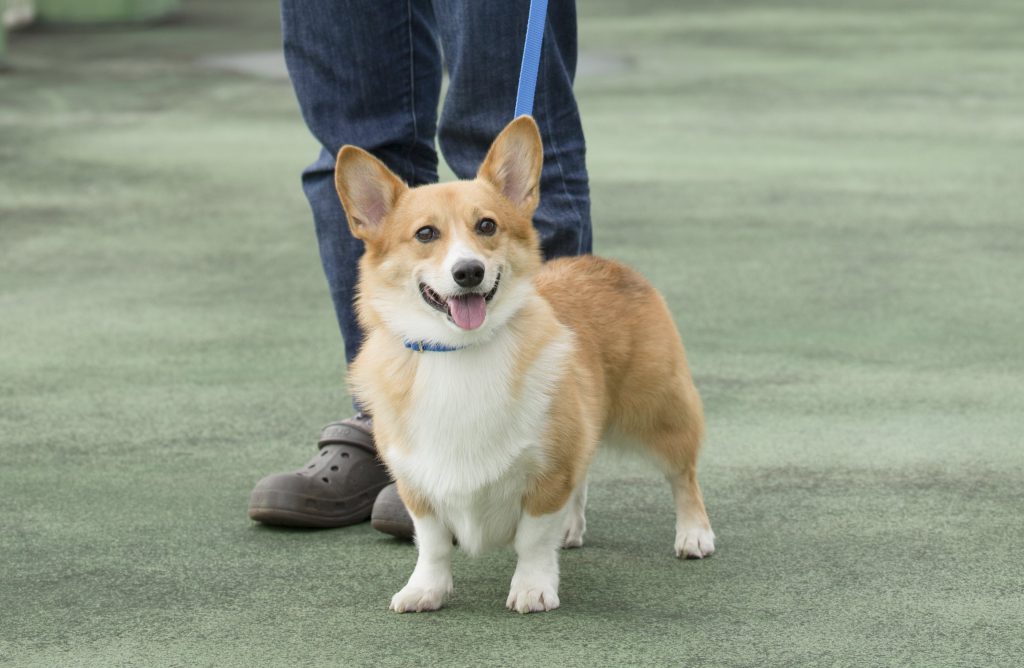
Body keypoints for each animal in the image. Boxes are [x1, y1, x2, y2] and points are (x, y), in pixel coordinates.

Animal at [335, 116, 712, 614]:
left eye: (487, 225)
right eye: (425, 234)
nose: (469, 272)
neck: (460, 352)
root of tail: (605, 263)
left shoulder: (548, 468)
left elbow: (533, 539)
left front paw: (532, 588)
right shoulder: (417, 484)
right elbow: (432, 544)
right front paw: (425, 590)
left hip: (660, 412)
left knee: (683, 475)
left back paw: (694, 534)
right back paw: (572, 529)